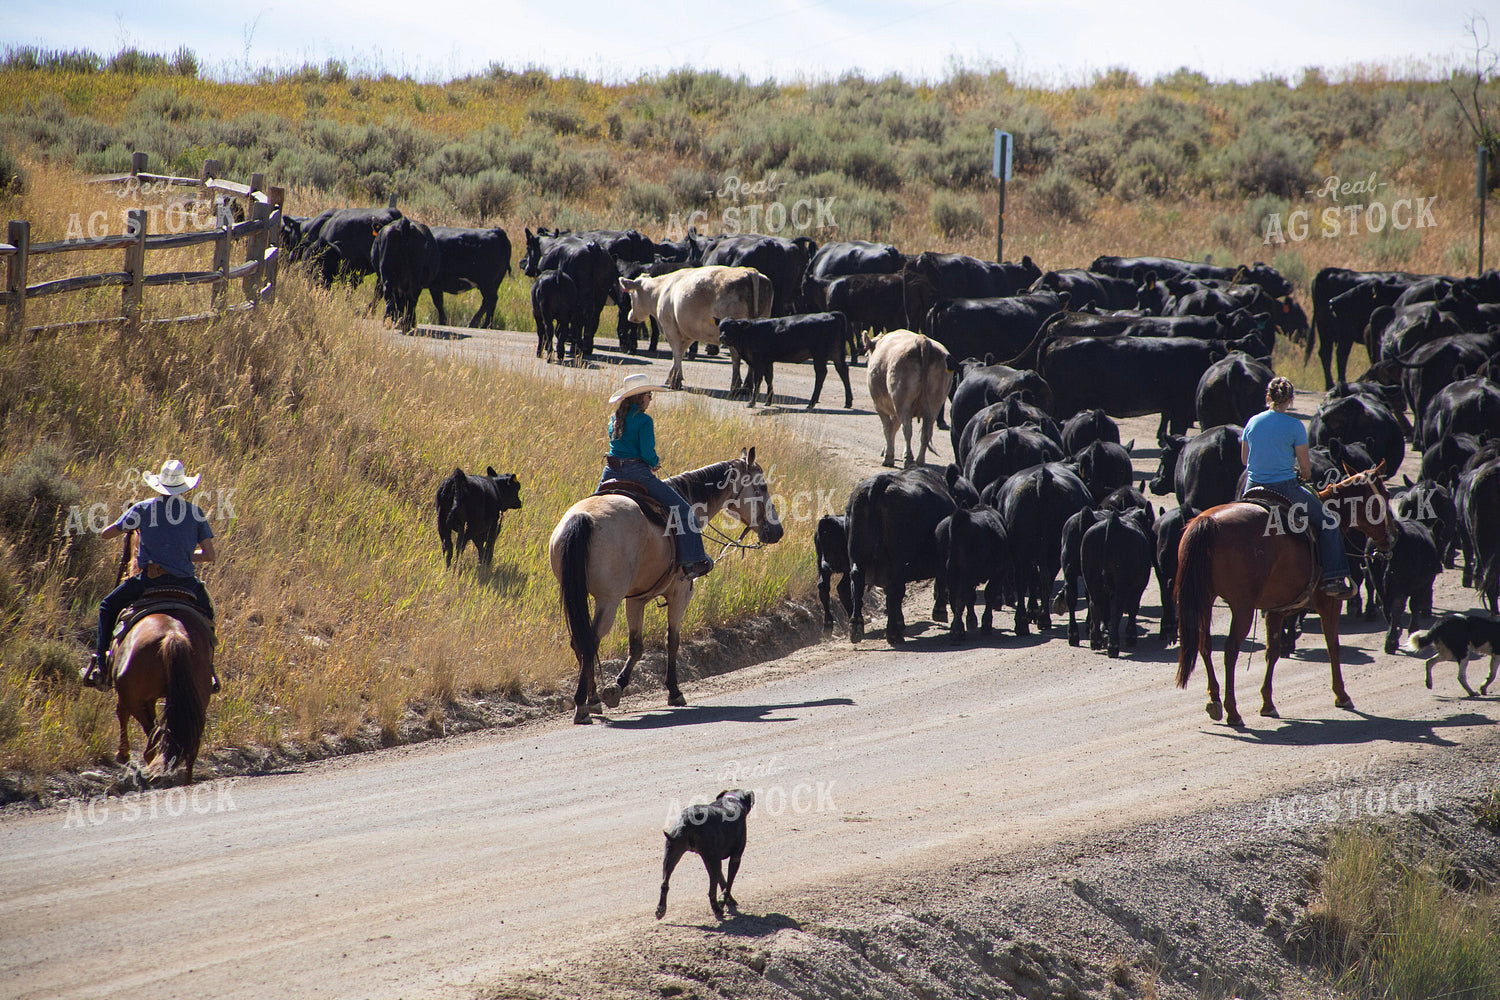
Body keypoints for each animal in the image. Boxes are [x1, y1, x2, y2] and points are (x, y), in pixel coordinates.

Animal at [618, 265, 773, 391]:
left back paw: (736, 387)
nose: (630, 316)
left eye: (631, 294)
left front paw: (675, 381)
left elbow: (677, 352)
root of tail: (749, 271)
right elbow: (681, 351)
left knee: (736, 358)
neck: (660, 290)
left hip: (732, 334)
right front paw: (672, 376)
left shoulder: (670, 327)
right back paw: (747, 387)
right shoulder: (687, 332)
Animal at [714, 312, 853, 409]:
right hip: (836, 353)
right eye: (721, 328)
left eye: (733, 327)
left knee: (821, 374)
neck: (749, 333)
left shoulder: (758, 361)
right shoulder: (768, 361)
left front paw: (752, 403)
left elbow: (758, 381)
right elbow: (769, 378)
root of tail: (831, 314)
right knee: (843, 370)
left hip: (819, 354)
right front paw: (768, 401)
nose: (722, 337)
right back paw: (848, 402)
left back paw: (811, 403)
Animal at [845, 466, 955, 644]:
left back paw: (856, 626)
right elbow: (940, 581)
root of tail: (880, 483)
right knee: (893, 589)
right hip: (897, 561)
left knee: (857, 581)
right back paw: (893, 634)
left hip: (857, 555)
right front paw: (939, 611)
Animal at [868, 331, 951, 468]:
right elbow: (893, 428)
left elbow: (888, 428)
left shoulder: (879, 406)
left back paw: (908, 458)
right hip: (935, 403)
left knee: (907, 428)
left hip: (902, 401)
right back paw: (919, 460)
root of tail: (922, 340)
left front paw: (888, 456)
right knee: (927, 431)